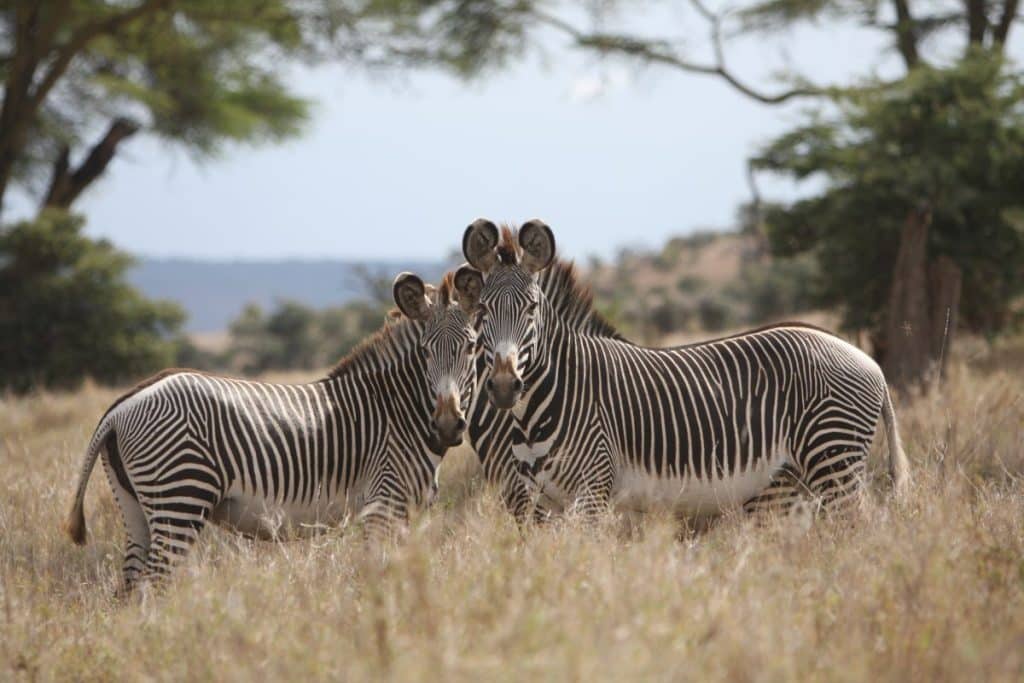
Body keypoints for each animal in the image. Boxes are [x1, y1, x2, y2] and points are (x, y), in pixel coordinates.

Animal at [65, 271, 478, 593]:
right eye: (425, 352)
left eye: (471, 348)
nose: (446, 426)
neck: (397, 408)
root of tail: (121, 407)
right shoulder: (383, 503)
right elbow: (378, 572)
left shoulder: (403, 511)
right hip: (180, 495)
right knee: (152, 583)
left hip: (134, 505)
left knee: (130, 586)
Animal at [455, 219, 910, 520]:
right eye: (483, 312)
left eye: (531, 308)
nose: (504, 386)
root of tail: (868, 361)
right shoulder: (543, 501)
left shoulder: (592, 490)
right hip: (797, 479)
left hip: (834, 462)